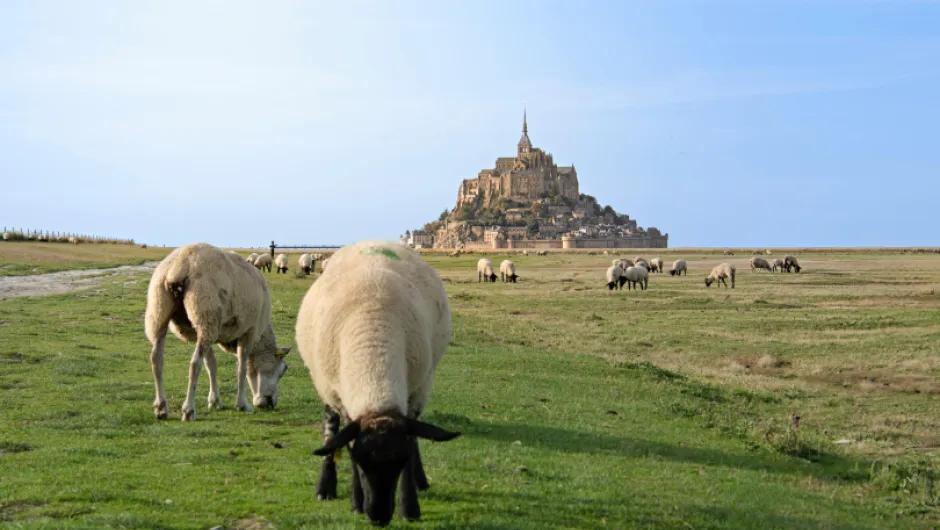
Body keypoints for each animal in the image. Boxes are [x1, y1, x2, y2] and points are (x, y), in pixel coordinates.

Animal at [144, 243, 291, 421]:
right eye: (283, 370)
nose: (271, 404)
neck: (260, 341)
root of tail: (179, 265)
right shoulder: (249, 332)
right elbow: (242, 368)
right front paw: (242, 404)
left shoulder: (203, 334)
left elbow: (212, 365)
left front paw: (215, 401)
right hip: (206, 314)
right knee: (194, 363)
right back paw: (189, 410)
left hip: (162, 312)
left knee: (156, 359)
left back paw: (161, 408)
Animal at [295, 240, 461, 526]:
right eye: (362, 463)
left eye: (399, 462)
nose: (379, 518)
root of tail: (373, 242)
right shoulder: (345, 401)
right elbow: (343, 441)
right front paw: (356, 502)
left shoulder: (416, 393)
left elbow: (413, 442)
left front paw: (409, 507)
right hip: (326, 386)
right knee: (331, 430)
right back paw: (325, 487)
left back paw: (421, 482)